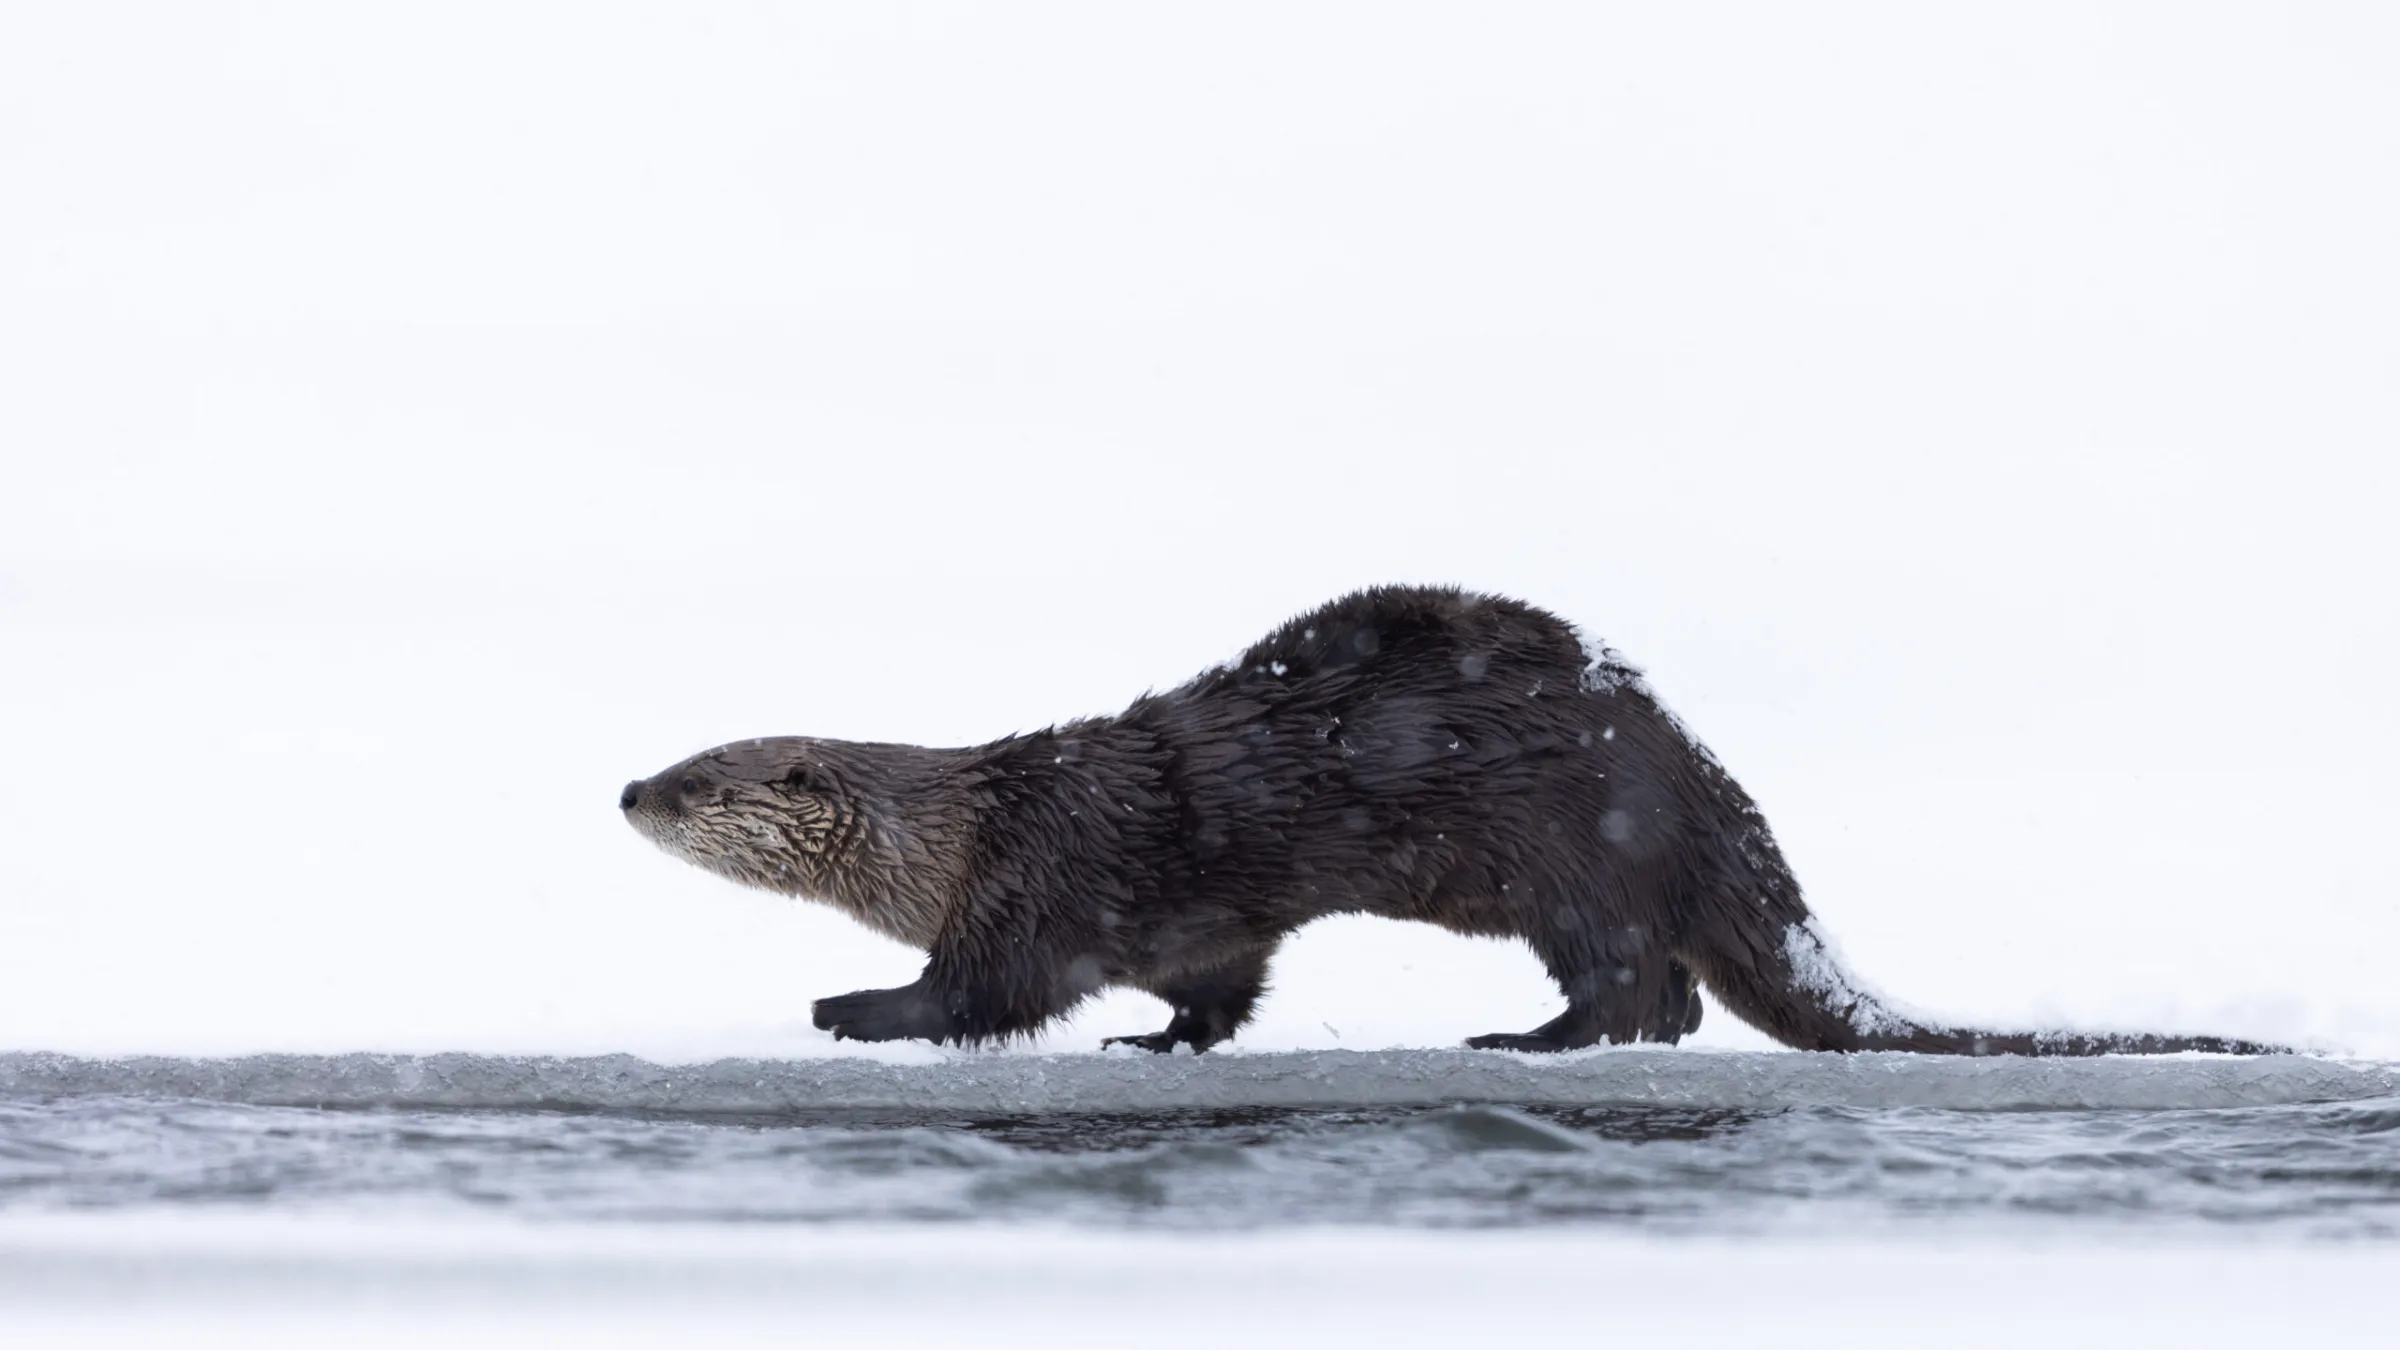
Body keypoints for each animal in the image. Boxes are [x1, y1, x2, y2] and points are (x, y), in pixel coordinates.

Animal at [621, 586, 2280, 1056]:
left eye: (701, 776)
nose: (626, 788)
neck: (964, 835)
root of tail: (1696, 774)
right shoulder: (1204, 921)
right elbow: (1215, 982)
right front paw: (1162, 1044)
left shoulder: (1039, 887)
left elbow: (989, 990)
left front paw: (849, 1004)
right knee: (1677, 994)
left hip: (1570, 854)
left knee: (1636, 981)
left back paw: (1530, 1039)